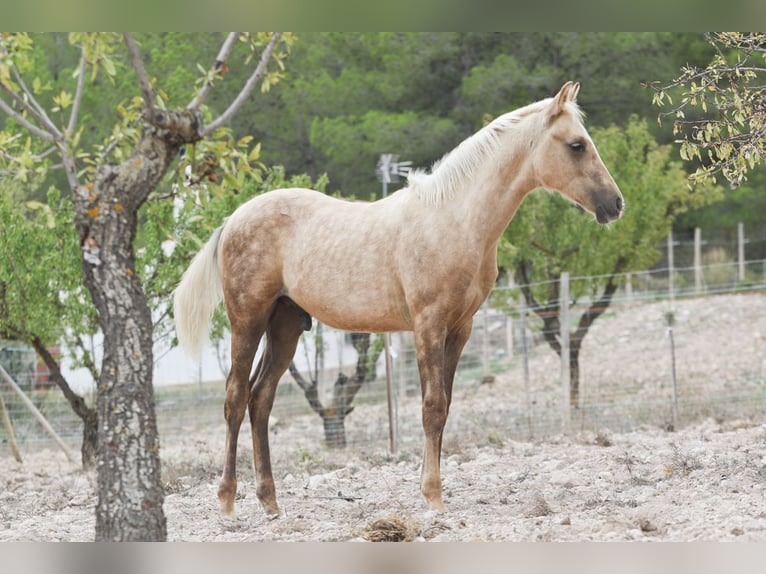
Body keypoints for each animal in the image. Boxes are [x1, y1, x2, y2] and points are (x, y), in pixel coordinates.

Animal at [172, 82, 624, 516]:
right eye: (576, 145)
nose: (615, 204)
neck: (455, 220)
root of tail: (233, 220)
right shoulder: (428, 324)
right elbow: (432, 406)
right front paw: (433, 497)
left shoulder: (460, 329)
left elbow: (445, 405)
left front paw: (430, 488)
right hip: (248, 320)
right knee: (235, 398)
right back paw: (227, 501)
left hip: (285, 326)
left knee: (260, 400)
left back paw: (270, 501)